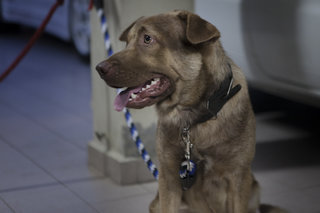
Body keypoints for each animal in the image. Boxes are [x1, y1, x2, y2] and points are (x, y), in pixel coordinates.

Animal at [96, 10, 286, 213]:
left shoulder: (238, 177)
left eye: (147, 38)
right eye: (127, 42)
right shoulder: (169, 178)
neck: (194, 115)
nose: (99, 68)